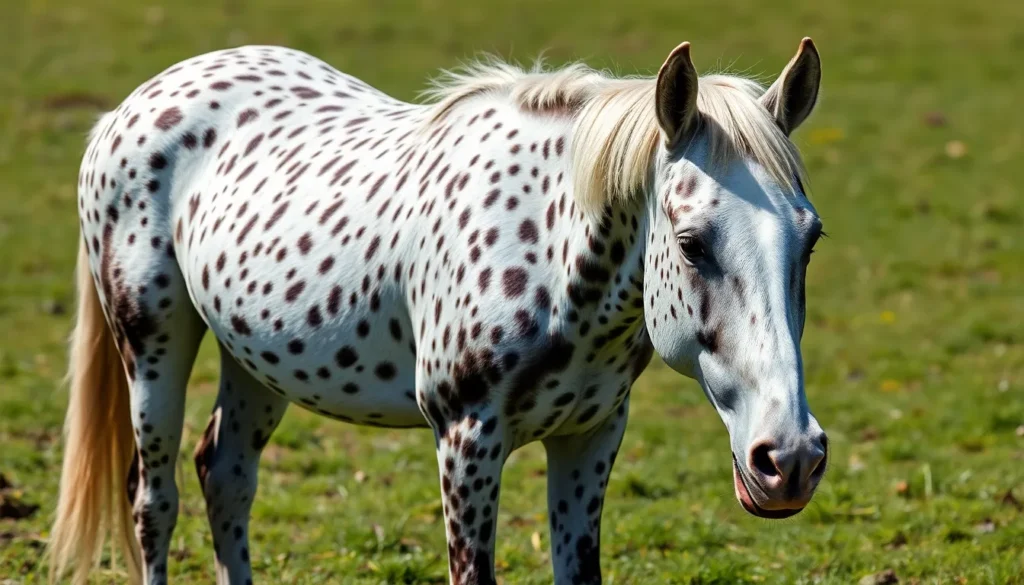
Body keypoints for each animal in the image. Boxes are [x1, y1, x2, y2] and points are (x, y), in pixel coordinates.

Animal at [48, 37, 828, 585]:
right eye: (692, 244)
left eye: (811, 238)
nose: (789, 459)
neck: (548, 248)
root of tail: (127, 108)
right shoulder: (466, 440)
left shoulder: (590, 435)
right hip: (153, 345)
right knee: (154, 501)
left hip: (256, 362)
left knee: (226, 476)